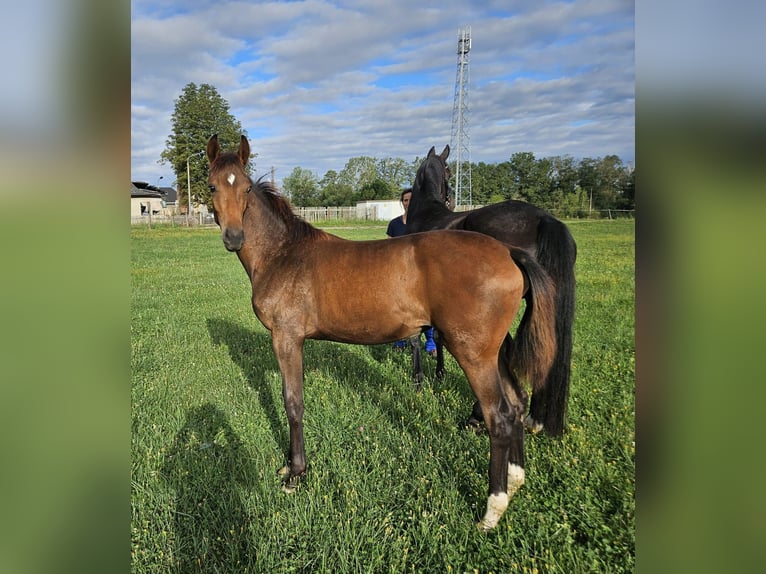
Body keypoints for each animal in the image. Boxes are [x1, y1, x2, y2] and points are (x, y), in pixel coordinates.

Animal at [408, 146, 576, 438]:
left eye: (449, 171)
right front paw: (438, 373)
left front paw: (423, 379)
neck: (427, 213)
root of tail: (544, 218)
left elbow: (424, 337)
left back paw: (478, 416)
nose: (452, 199)